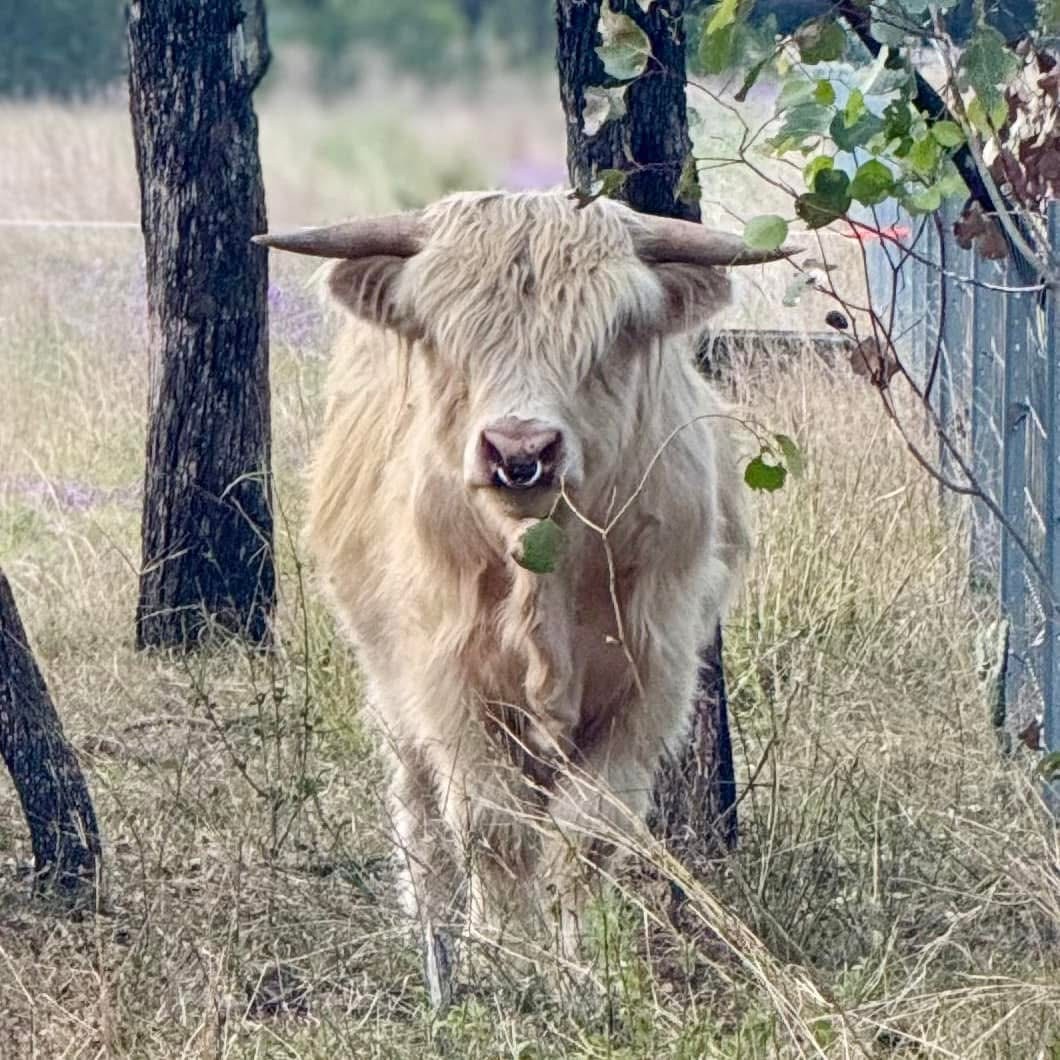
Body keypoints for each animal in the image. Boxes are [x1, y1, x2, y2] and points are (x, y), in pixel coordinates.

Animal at [254, 191, 787, 1003]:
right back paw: (432, 927)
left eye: (609, 336)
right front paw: (503, 956)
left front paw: (582, 965)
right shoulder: (448, 683)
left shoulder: (649, 684)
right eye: (447, 333)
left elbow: (586, 830)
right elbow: (490, 824)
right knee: (418, 805)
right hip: (390, 682)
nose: (519, 451)